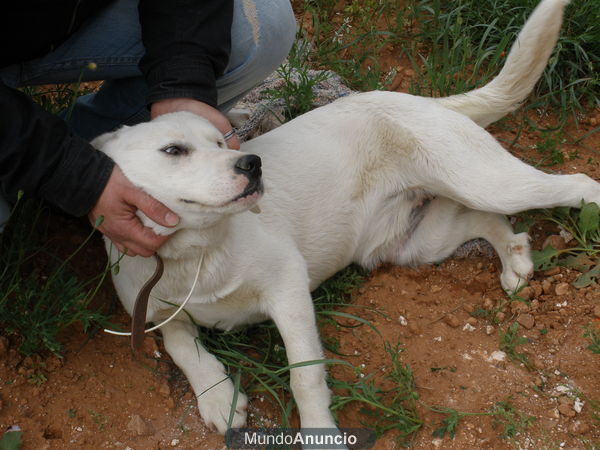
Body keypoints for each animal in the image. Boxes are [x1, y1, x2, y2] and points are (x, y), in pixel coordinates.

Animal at [91, 0, 596, 436]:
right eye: (173, 150)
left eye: (220, 141)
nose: (252, 164)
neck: (197, 254)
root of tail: (431, 101)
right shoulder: (156, 313)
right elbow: (181, 347)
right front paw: (217, 396)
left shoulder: (289, 290)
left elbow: (304, 375)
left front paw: (319, 431)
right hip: (416, 241)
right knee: (486, 220)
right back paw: (515, 259)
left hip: (487, 181)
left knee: (577, 183)